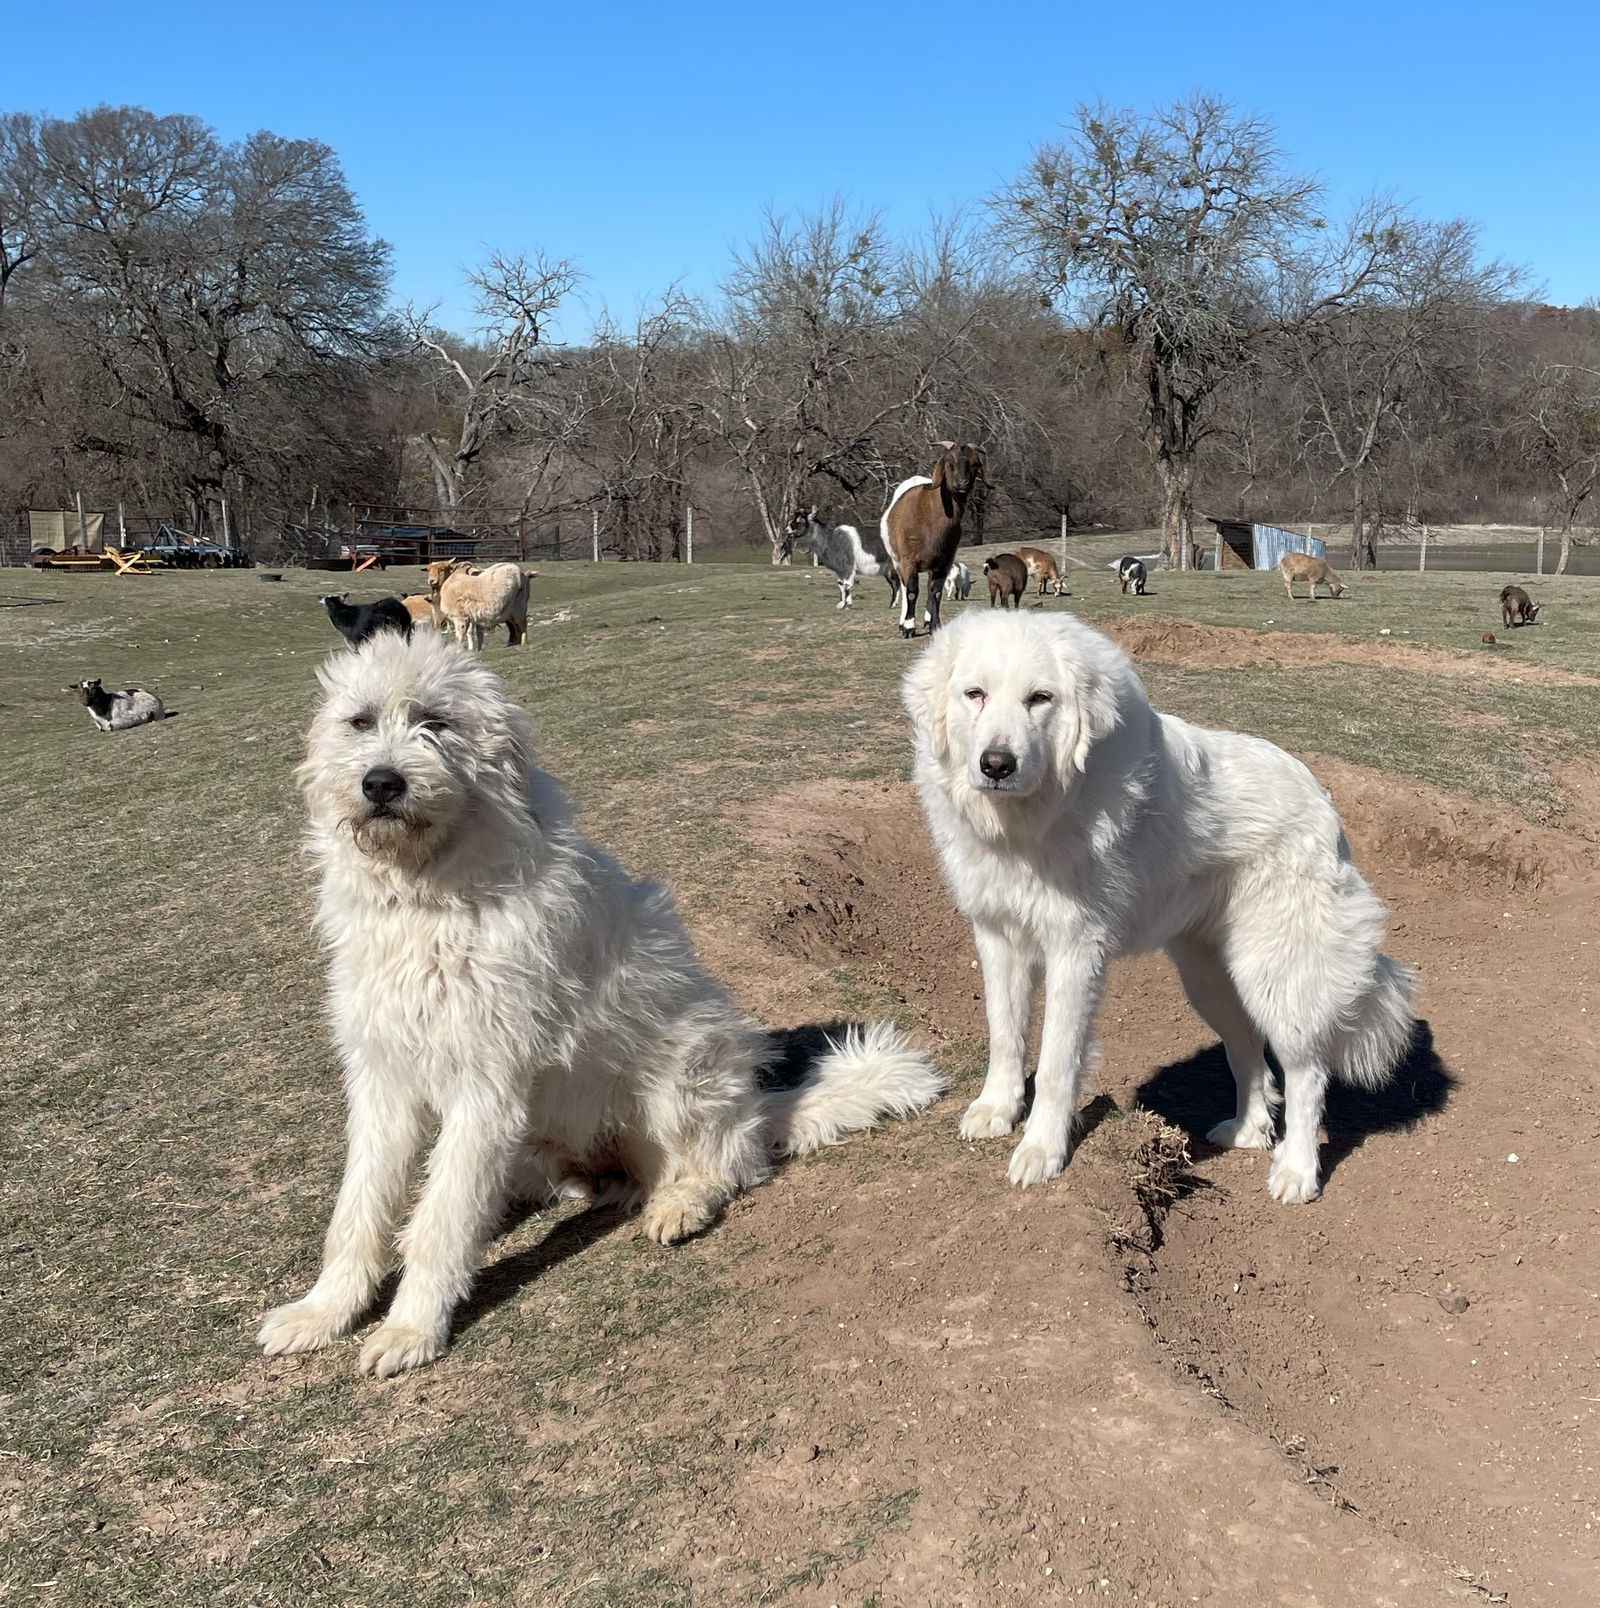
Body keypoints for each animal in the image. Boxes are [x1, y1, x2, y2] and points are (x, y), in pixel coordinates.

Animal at [257, 633, 945, 1376]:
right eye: (359, 721)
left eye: (436, 722)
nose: (382, 782)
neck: (424, 895)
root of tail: (760, 1112)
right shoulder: (382, 1076)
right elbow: (357, 1210)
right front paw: (325, 1311)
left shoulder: (484, 1084)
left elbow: (441, 1221)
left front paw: (412, 1329)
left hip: (680, 1069)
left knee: (725, 1165)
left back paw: (680, 1202)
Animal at [881, 447, 984, 639]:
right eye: (949, 463)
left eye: (974, 464)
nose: (962, 483)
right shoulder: (907, 561)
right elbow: (911, 592)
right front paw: (908, 627)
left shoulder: (944, 561)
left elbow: (935, 592)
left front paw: (934, 625)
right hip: (898, 560)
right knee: (905, 588)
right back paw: (903, 623)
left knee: (930, 587)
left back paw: (928, 620)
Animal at [900, 614, 1415, 1209]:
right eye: (975, 694)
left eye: (1040, 699)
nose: (996, 764)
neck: (1031, 818)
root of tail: (1323, 801)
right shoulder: (998, 935)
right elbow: (1005, 1034)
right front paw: (997, 1109)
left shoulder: (1075, 949)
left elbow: (1056, 1062)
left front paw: (1042, 1150)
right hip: (1209, 980)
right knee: (1249, 1054)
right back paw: (1248, 1131)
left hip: (1276, 976)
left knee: (1305, 1074)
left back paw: (1296, 1170)